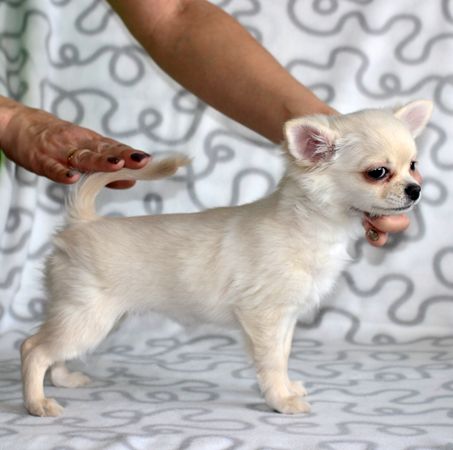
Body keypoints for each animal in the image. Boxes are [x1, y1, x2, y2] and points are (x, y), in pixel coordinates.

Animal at [21, 100, 432, 416]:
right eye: (378, 173)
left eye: (413, 165)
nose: (415, 190)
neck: (311, 226)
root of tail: (83, 221)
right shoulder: (263, 316)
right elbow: (270, 362)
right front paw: (280, 401)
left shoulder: (285, 318)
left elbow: (282, 357)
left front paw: (286, 389)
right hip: (88, 317)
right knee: (35, 350)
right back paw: (37, 403)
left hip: (90, 316)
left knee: (43, 346)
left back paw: (62, 379)